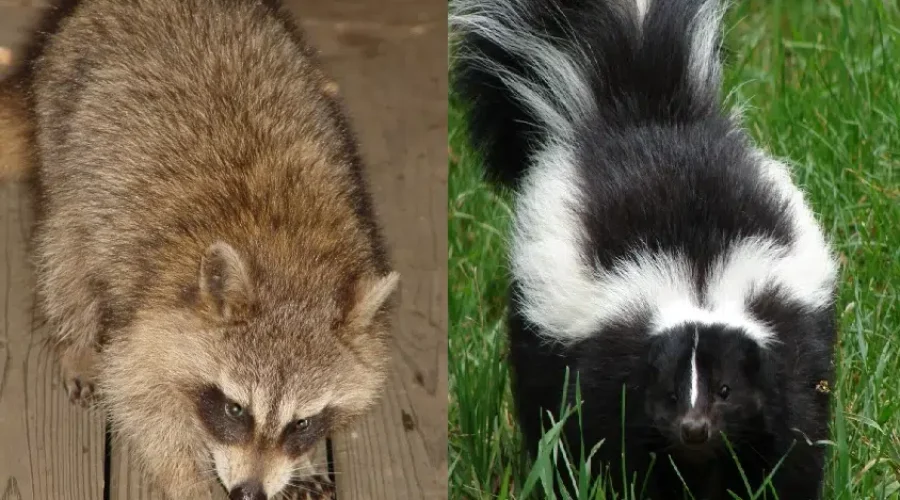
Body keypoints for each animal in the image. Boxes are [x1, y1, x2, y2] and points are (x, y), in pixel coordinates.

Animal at [0, 0, 399, 498]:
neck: (291, 257)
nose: (248, 492)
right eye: (235, 409)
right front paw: (188, 478)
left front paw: (300, 462)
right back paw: (76, 336)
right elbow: (137, 392)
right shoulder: (157, 311)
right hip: (64, 125)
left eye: (302, 423)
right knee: (66, 250)